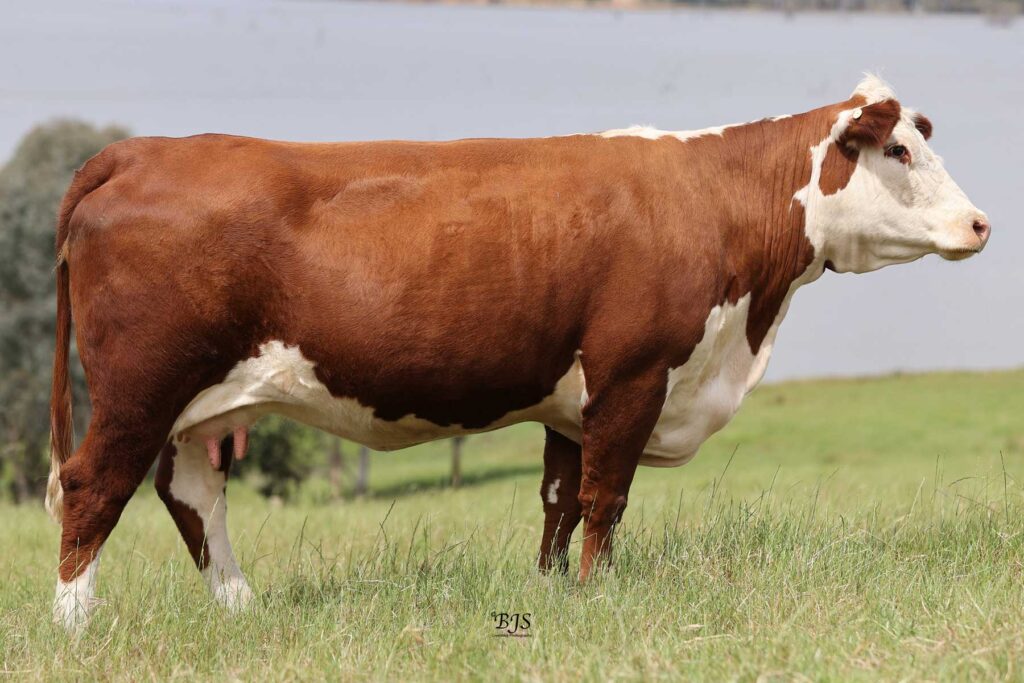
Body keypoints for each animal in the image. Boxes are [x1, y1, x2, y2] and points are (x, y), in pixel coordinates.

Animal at [48, 76, 991, 630]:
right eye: (899, 150)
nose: (981, 223)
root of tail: (139, 149)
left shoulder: (572, 402)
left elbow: (558, 502)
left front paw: (547, 595)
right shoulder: (633, 375)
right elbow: (607, 500)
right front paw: (596, 598)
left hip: (197, 405)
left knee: (190, 492)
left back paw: (243, 608)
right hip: (140, 385)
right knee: (93, 487)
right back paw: (75, 625)